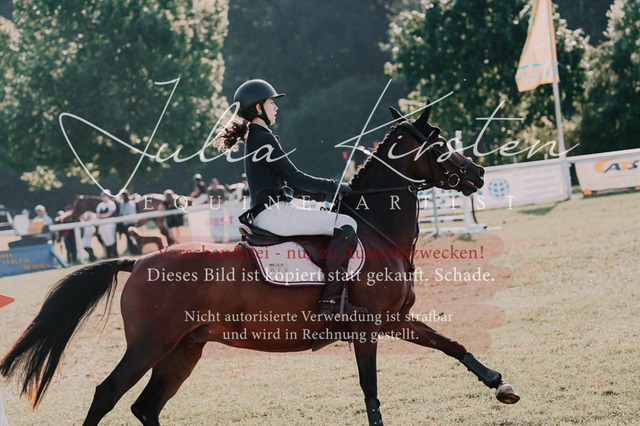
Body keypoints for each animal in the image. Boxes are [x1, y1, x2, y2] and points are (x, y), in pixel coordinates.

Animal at [0, 103, 519, 425]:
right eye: (438, 145)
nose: (478, 173)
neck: (377, 231)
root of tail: (138, 262)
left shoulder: (393, 320)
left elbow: (450, 344)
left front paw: (499, 383)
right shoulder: (369, 327)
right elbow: (370, 388)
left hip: (184, 349)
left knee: (146, 407)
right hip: (150, 344)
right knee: (107, 395)